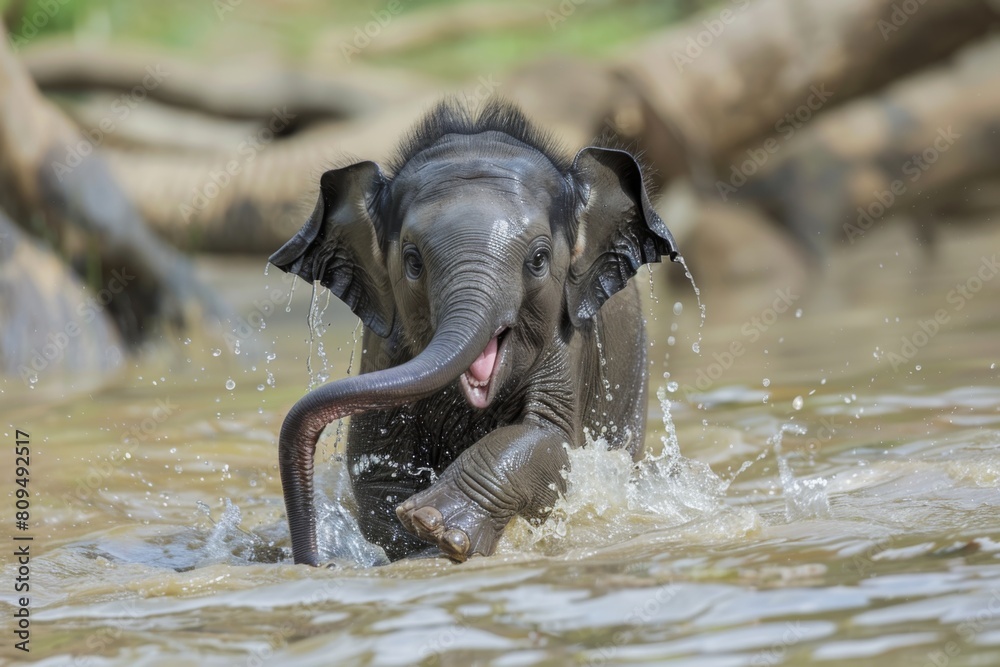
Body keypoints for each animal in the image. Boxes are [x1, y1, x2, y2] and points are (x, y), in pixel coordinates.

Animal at [270, 98, 680, 566]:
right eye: (413, 261)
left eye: (539, 260)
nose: (314, 560)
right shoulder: (385, 349)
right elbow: (376, 463)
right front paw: (417, 535)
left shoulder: (568, 335)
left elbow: (550, 439)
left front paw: (435, 524)